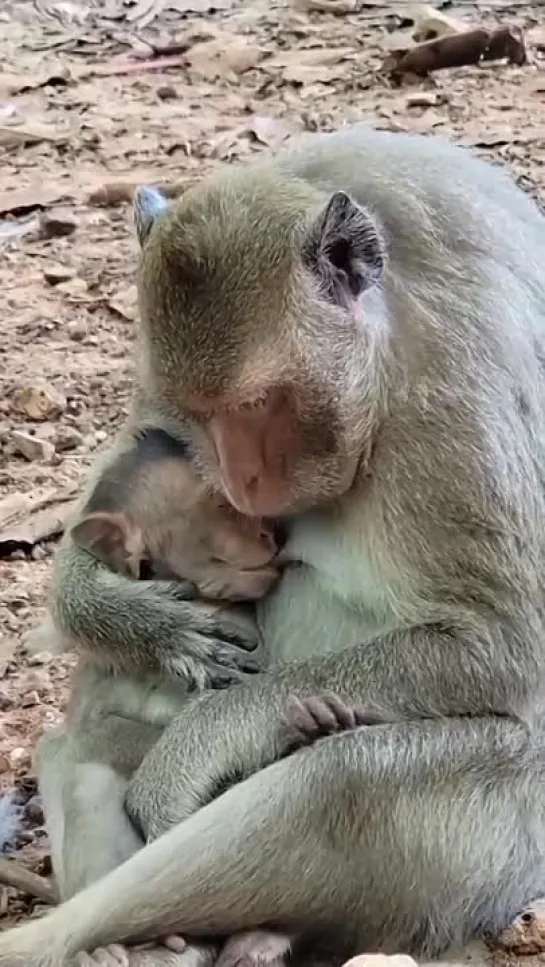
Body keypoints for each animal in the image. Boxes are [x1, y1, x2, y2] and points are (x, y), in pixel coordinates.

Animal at [1, 123, 544, 967]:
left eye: (258, 404)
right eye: (198, 411)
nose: (240, 479)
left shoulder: (461, 391)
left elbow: (500, 645)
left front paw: (197, 746)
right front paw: (140, 619)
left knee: (346, 779)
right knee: (77, 751)